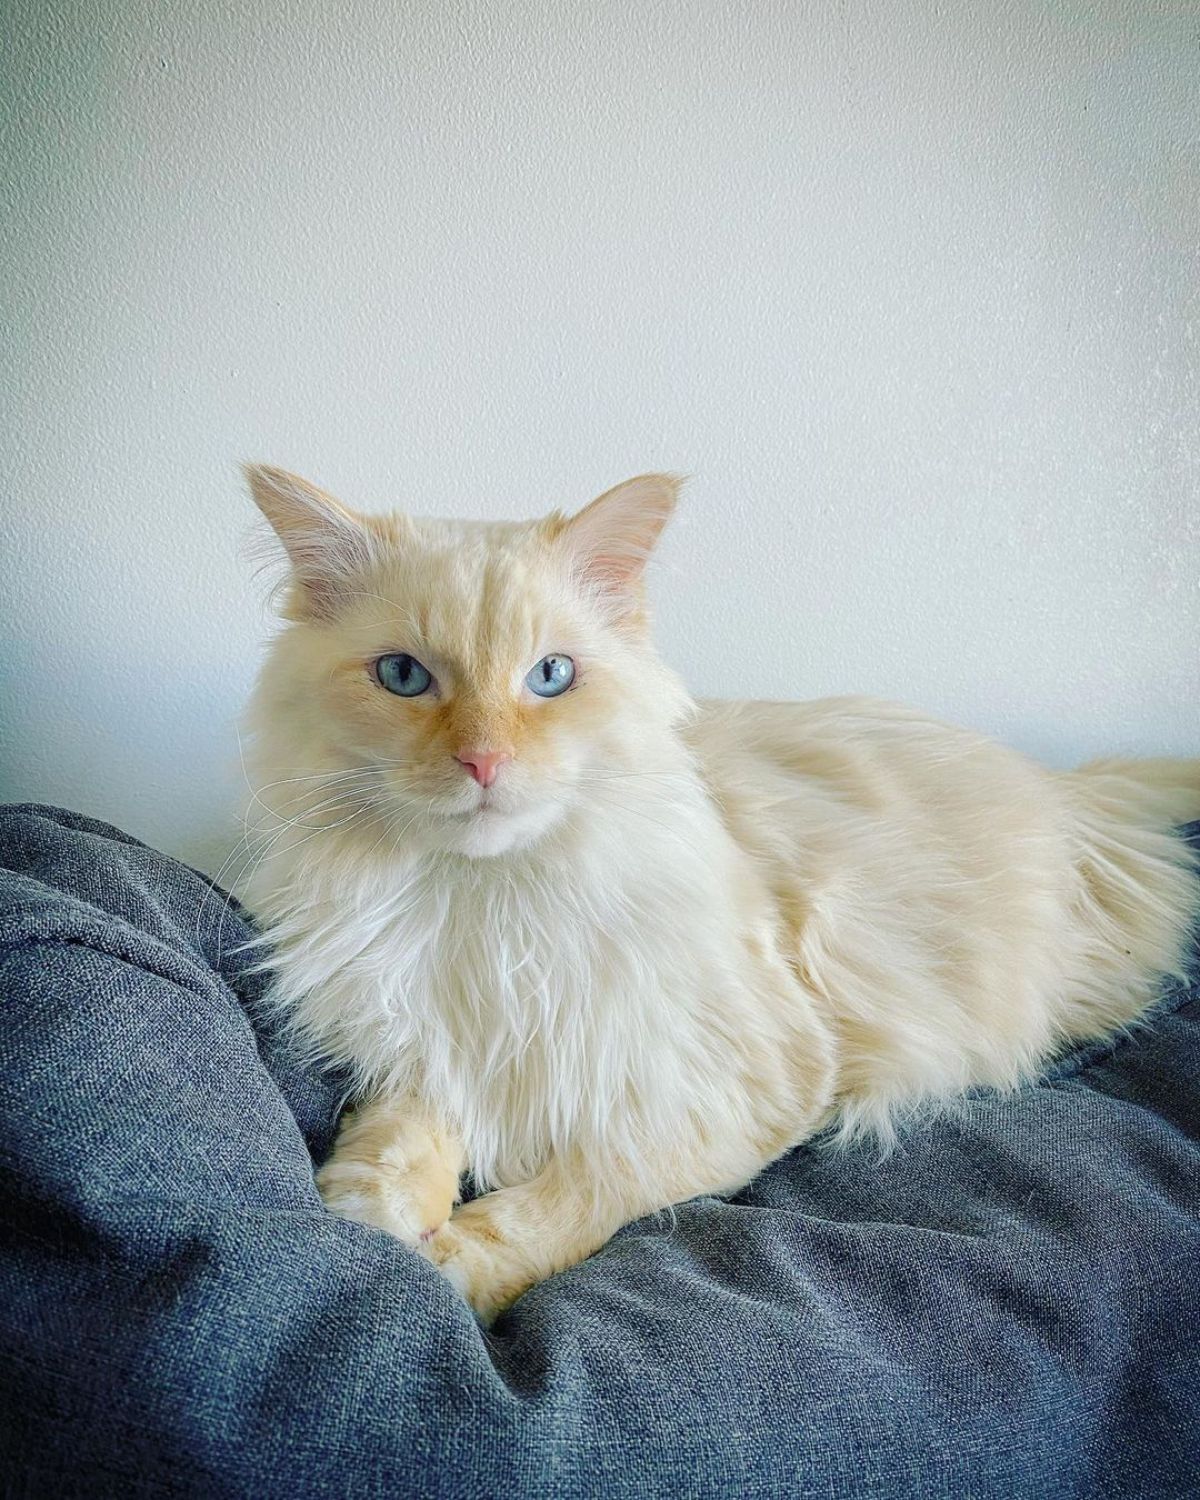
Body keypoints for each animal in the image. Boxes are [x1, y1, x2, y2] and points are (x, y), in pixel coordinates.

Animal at [237, 462, 1200, 1320]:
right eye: (404, 677)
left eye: (550, 677)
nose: (484, 763)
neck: (492, 902)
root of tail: (1072, 789)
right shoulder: (429, 1039)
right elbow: (393, 1146)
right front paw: (372, 1230)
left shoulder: (733, 1083)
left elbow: (579, 1187)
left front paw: (452, 1268)